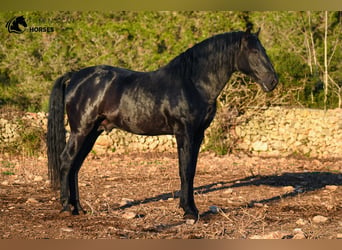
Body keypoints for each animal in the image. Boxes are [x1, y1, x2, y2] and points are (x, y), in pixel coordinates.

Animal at [47, 26, 278, 220]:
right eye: (254, 52)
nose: (273, 81)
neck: (193, 83)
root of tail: (76, 76)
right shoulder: (184, 132)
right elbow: (185, 170)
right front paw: (190, 211)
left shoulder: (198, 134)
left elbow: (191, 170)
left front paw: (189, 208)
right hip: (81, 130)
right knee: (66, 160)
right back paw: (67, 207)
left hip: (93, 132)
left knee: (75, 165)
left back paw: (78, 208)